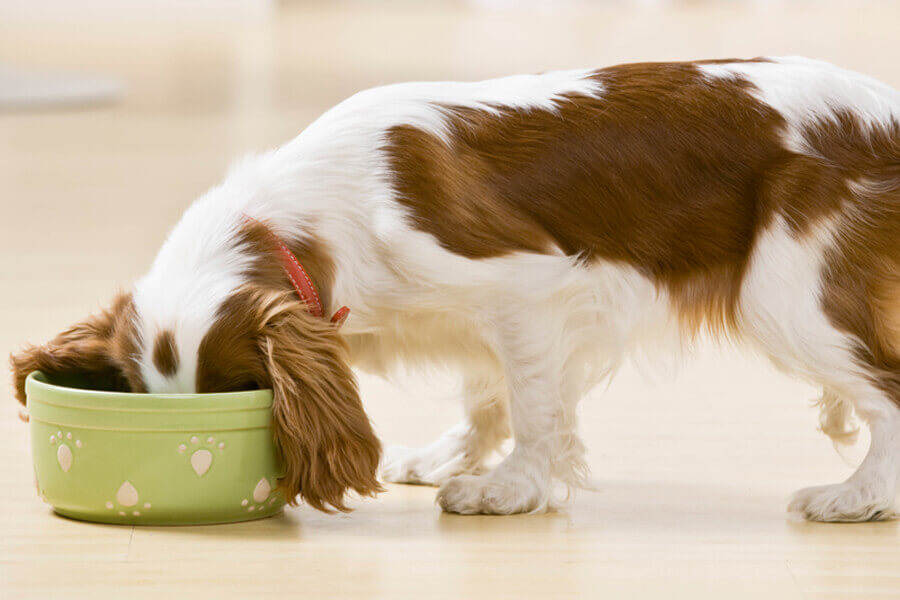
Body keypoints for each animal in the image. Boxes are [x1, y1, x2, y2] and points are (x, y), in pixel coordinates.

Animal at [8, 57, 900, 520]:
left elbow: (535, 409)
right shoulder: (481, 322)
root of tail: (884, 106)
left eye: (238, 393)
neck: (308, 219)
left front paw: (508, 489)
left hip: (785, 296)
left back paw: (857, 498)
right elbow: (487, 394)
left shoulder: (527, 289)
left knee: (885, 393)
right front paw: (447, 458)